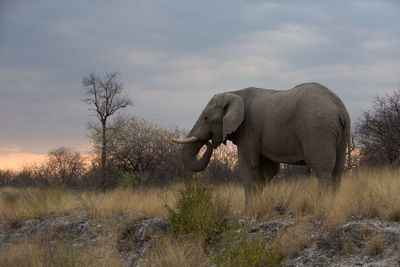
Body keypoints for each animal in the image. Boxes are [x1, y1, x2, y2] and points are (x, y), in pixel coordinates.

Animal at [173, 82, 350, 204]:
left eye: (206, 118)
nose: (209, 143)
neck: (235, 93)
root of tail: (340, 108)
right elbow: (267, 171)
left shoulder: (248, 131)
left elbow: (248, 166)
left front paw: (248, 211)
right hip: (340, 132)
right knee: (337, 170)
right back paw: (333, 204)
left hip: (318, 129)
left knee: (323, 171)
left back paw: (320, 207)